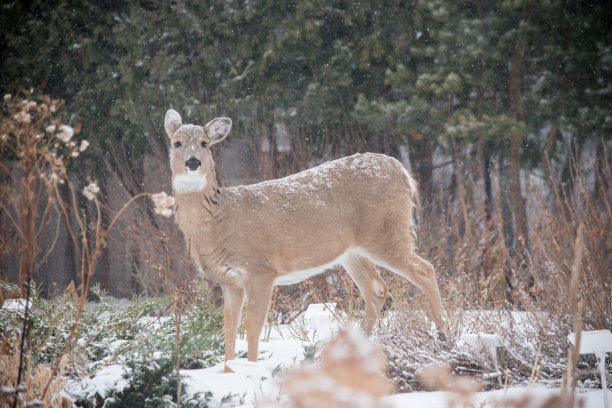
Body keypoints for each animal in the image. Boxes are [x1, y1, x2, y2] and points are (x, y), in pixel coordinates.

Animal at [163, 109, 448, 372]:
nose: (192, 162)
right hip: (352, 251)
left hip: (385, 233)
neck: (220, 220)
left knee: (424, 269)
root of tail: (402, 171)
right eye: (176, 143)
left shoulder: (261, 270)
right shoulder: (229, 279)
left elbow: (252, 328)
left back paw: (444, 338)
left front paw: (251, 371)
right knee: (377, 290)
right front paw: (229, 372)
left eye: (204, 143)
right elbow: (229, 329)